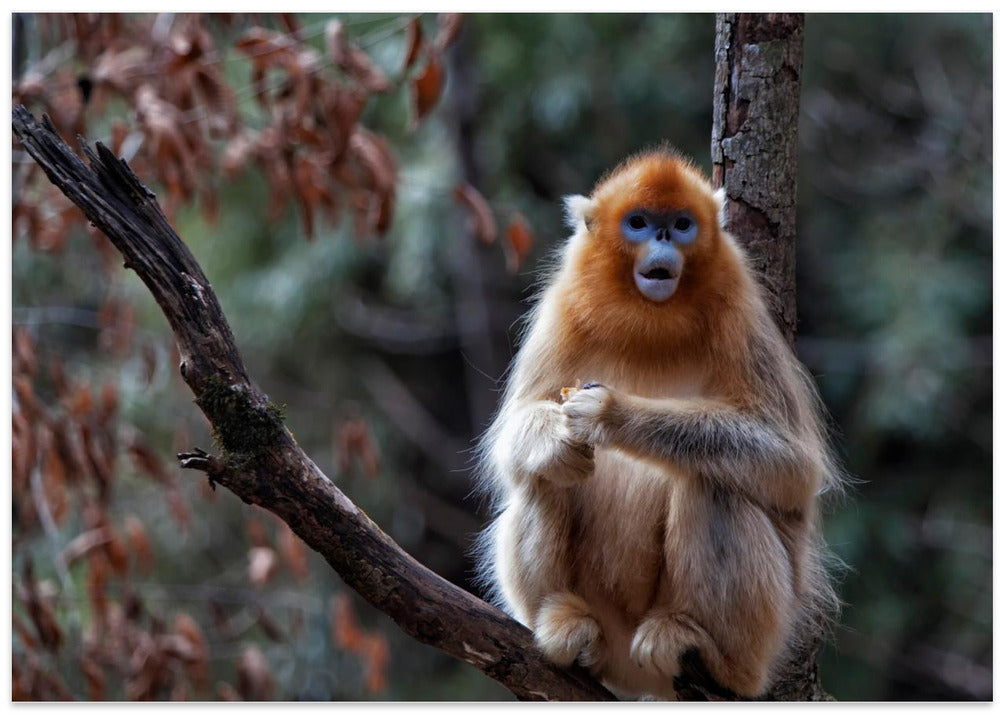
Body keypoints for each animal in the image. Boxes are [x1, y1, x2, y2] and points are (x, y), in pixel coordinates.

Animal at [474, 148, 843, 700]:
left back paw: (702, 649)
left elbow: (792, 468)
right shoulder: (561, 309)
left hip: (766, 632)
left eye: (683, 224)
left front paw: (612, 413)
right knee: (547, 474)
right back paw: (565, 621)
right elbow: (511, 443)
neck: (652, 321)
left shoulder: (743, 315)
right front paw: (559, 436)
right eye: (639, 222)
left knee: (715, 484)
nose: (663, 238)